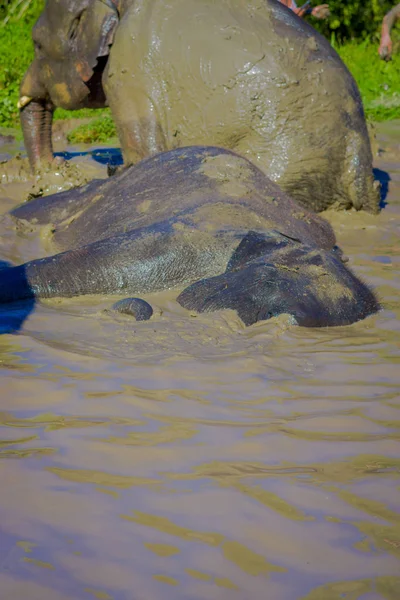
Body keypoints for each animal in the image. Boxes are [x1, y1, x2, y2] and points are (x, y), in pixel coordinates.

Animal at [19, 0, 382, 213]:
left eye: (36, 45)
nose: (50, 169)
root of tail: (357, 158)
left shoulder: (127, 69)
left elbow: (144, 154)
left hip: (288, 157)